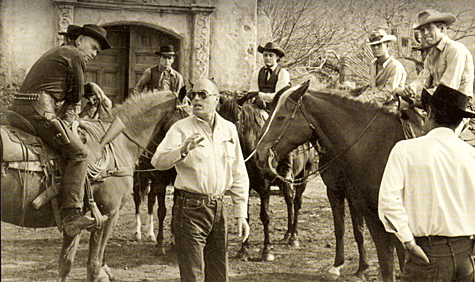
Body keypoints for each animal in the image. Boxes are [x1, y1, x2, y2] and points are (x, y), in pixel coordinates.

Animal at [1, 90, 191, 282]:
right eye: (188, 113)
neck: (118, 141)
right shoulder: (107, 214)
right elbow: (93, 265)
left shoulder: (76, 221)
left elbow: (65, 264)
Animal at [218, 95, 318, 262]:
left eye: (237, 119)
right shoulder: (247, 186)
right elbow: (246, 216)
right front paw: (243, 249)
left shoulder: (264, 186)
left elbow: (265, 216)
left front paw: (267, 250)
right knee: (289, 200)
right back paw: (287, 234)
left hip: (303, 175)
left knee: (297, 202)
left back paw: (294, 237)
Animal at [255, 80, 408, 280]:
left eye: (281, 117)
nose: (260, 153)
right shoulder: (338, 192)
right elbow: (343, 229)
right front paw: (340, 266)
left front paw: (363, 268)